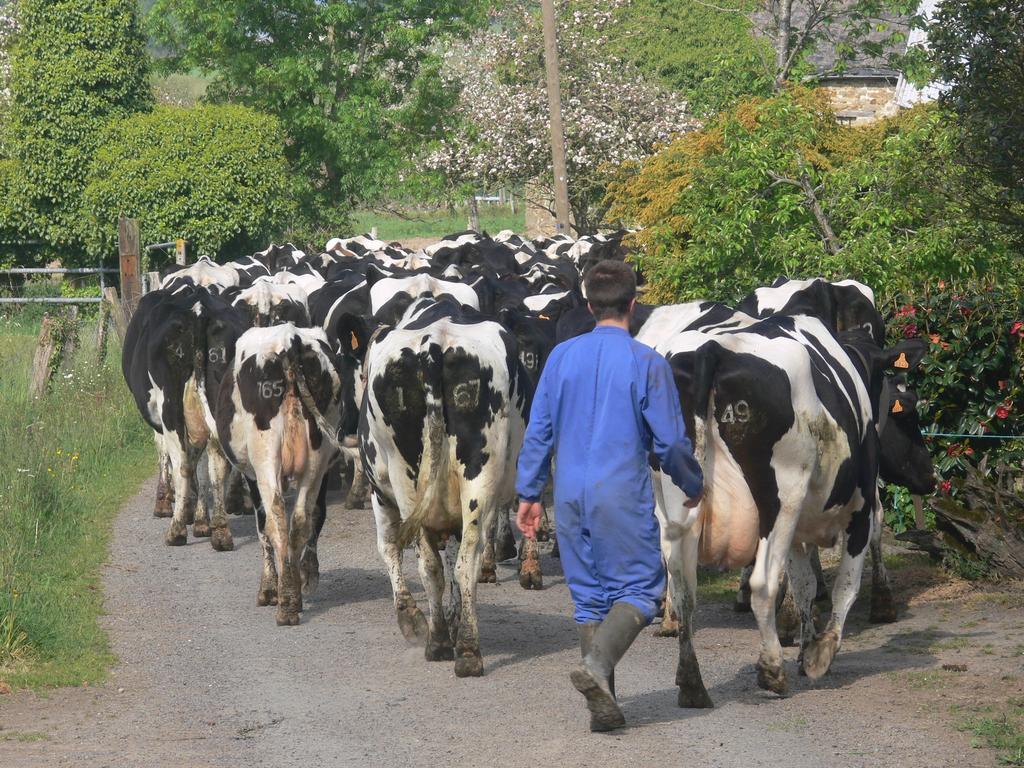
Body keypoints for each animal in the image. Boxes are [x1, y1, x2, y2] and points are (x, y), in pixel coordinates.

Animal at [214, 323, 346, 626]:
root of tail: (290, 340)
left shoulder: (252, 476)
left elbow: (262, 526)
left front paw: (268, 588)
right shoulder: (323, 471)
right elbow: (317, 515)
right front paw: (306, 577)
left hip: (265, 459)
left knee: (275, 518)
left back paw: (284, 600)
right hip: (316, 461)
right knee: (300, 520)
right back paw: (293, 597)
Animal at [360, 296, 532, 675]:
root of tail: (435, 344)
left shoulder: (380, 493)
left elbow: (388, 547)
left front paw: (411, 619)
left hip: (406, 482)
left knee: (433, 565)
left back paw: (438, 639)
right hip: (477, 481)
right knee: (462, 562)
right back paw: (465, 648)